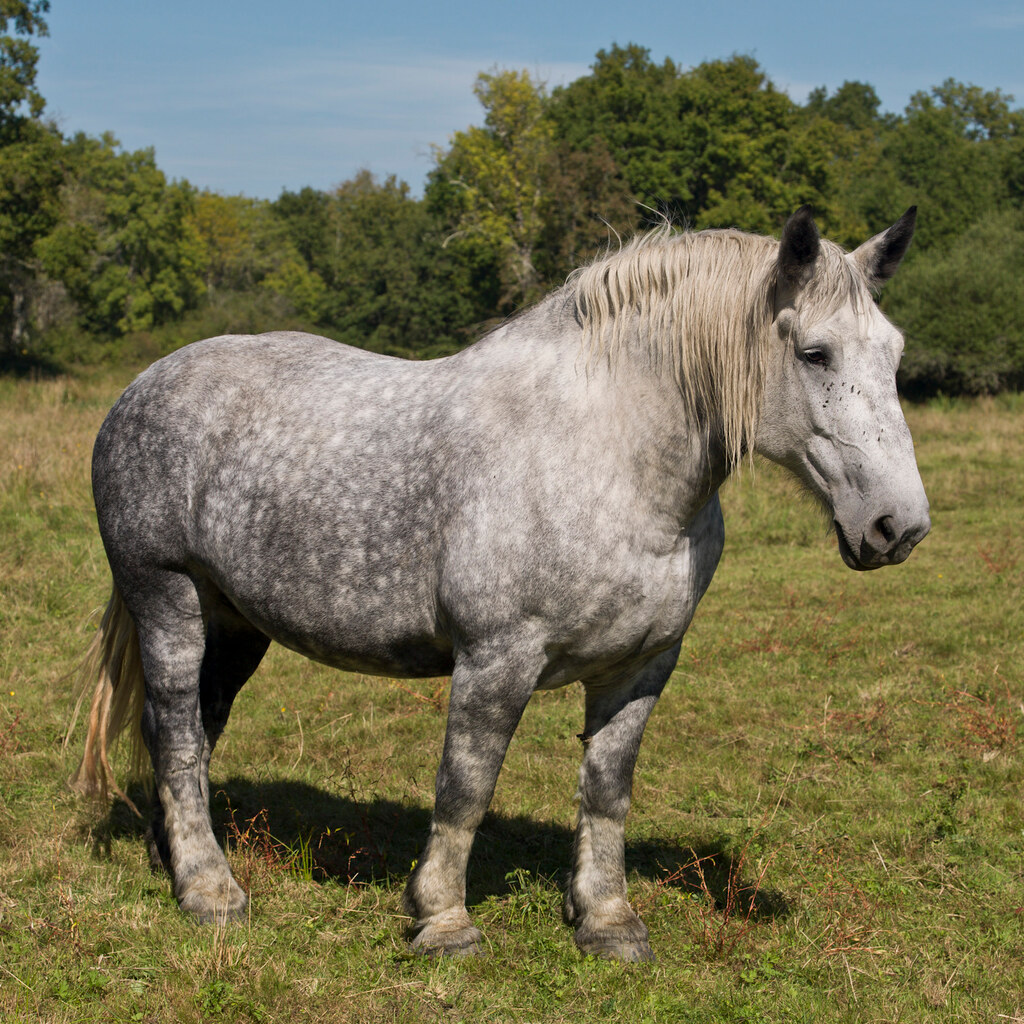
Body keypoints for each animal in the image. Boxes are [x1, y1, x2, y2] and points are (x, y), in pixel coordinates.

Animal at [71, 206, 929, 962]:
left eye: (893, 353)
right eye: (815, 354)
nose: (899, 527)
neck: (606, 457)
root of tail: (141, 388)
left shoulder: (642, 666)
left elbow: (606, 790)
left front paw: (608, 922)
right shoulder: (496, 660)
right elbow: (465, 788)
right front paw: (443, 922)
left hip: (236, 622)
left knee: (190, 727)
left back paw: (175, 861)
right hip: (167, 598)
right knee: (179, 732)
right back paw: (210, 892)